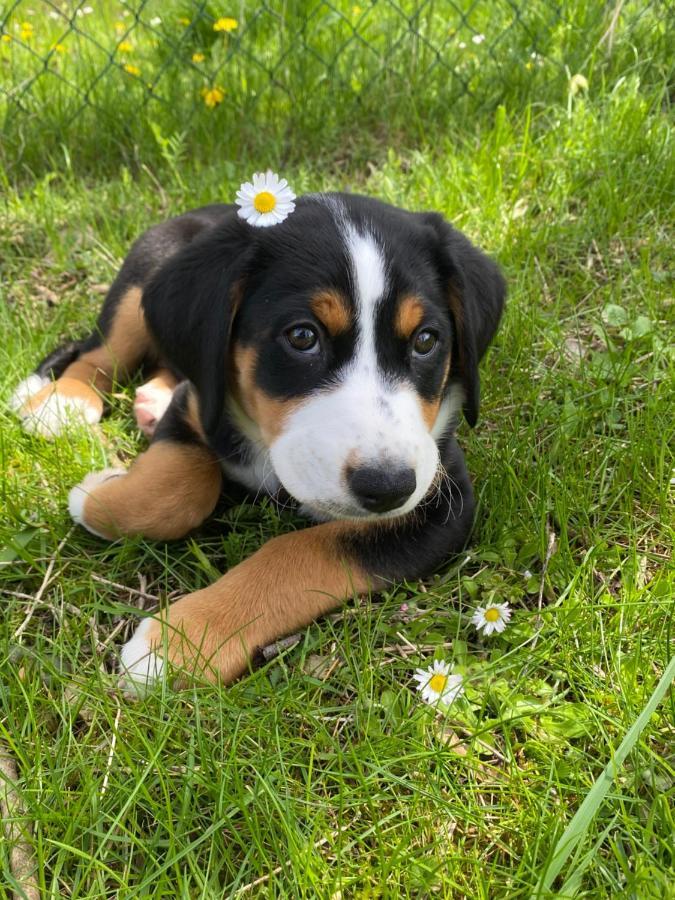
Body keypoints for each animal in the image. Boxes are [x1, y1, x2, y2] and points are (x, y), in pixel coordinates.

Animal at [10, 181, 504, 688]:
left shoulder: (441, 501)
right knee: (100, 349)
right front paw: (99, 495)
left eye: (426, 340)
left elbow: (302, 553)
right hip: (142, 279)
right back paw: (61, 401)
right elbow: (174, 491)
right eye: (302, 336)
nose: (388, 486)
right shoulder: (198, 401)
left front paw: (179, 645)